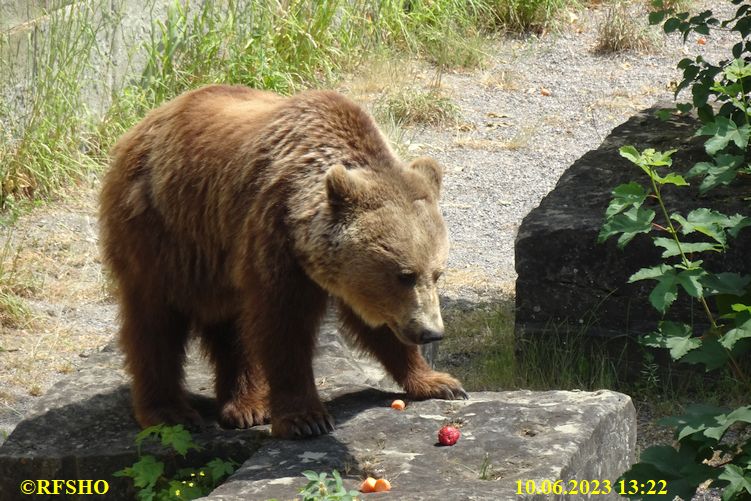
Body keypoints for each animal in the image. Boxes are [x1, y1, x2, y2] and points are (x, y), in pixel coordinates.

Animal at [98, 85, 464, 438]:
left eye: (437, 273)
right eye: (405, 274)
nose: (431, 332)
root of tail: (144, 123)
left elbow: (376, 325)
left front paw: (438, 382)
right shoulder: (273, 238)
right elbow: (283, 327)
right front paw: (305, 419)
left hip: (217, 260)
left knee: (232, 328)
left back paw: (247, 405)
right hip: (162, 232)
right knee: (155, 322)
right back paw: (169, 412)